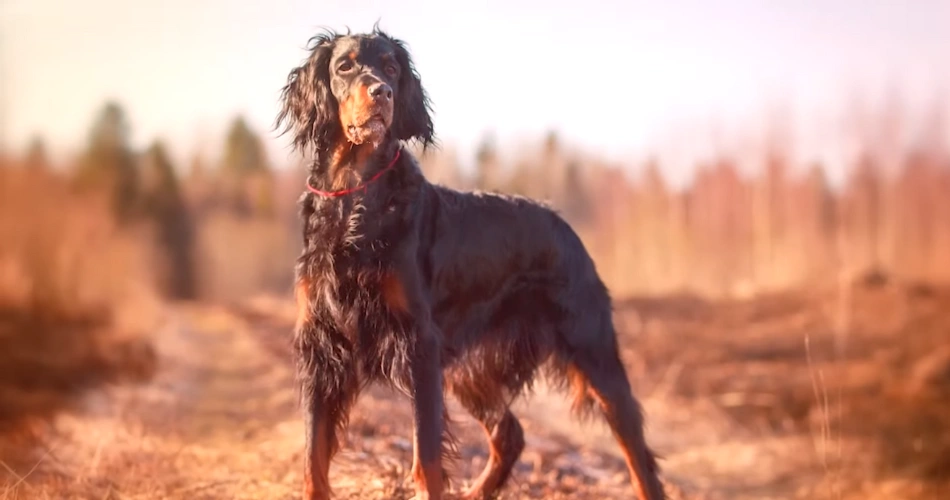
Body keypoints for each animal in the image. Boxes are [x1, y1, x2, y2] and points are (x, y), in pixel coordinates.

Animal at [272, 27, 664, 500]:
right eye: (345, 66)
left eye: (391, 68)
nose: (382, 92)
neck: (356, 197)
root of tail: (563, 223)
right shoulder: (321, 344)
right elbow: (313, 456)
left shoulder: (419, 344)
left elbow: (426, 456)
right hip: (468, 371)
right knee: (510, 432)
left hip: (592, 350)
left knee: (636, 451)